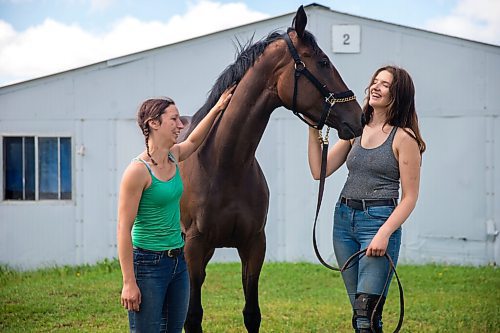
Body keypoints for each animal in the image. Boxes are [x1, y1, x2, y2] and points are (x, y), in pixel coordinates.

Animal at [180, 5, 364, 332]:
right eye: (323, 62)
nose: (359, 117)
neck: (224, 164)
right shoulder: (194, 247)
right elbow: (192, 317)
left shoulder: (254, 245)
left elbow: (252, 314)